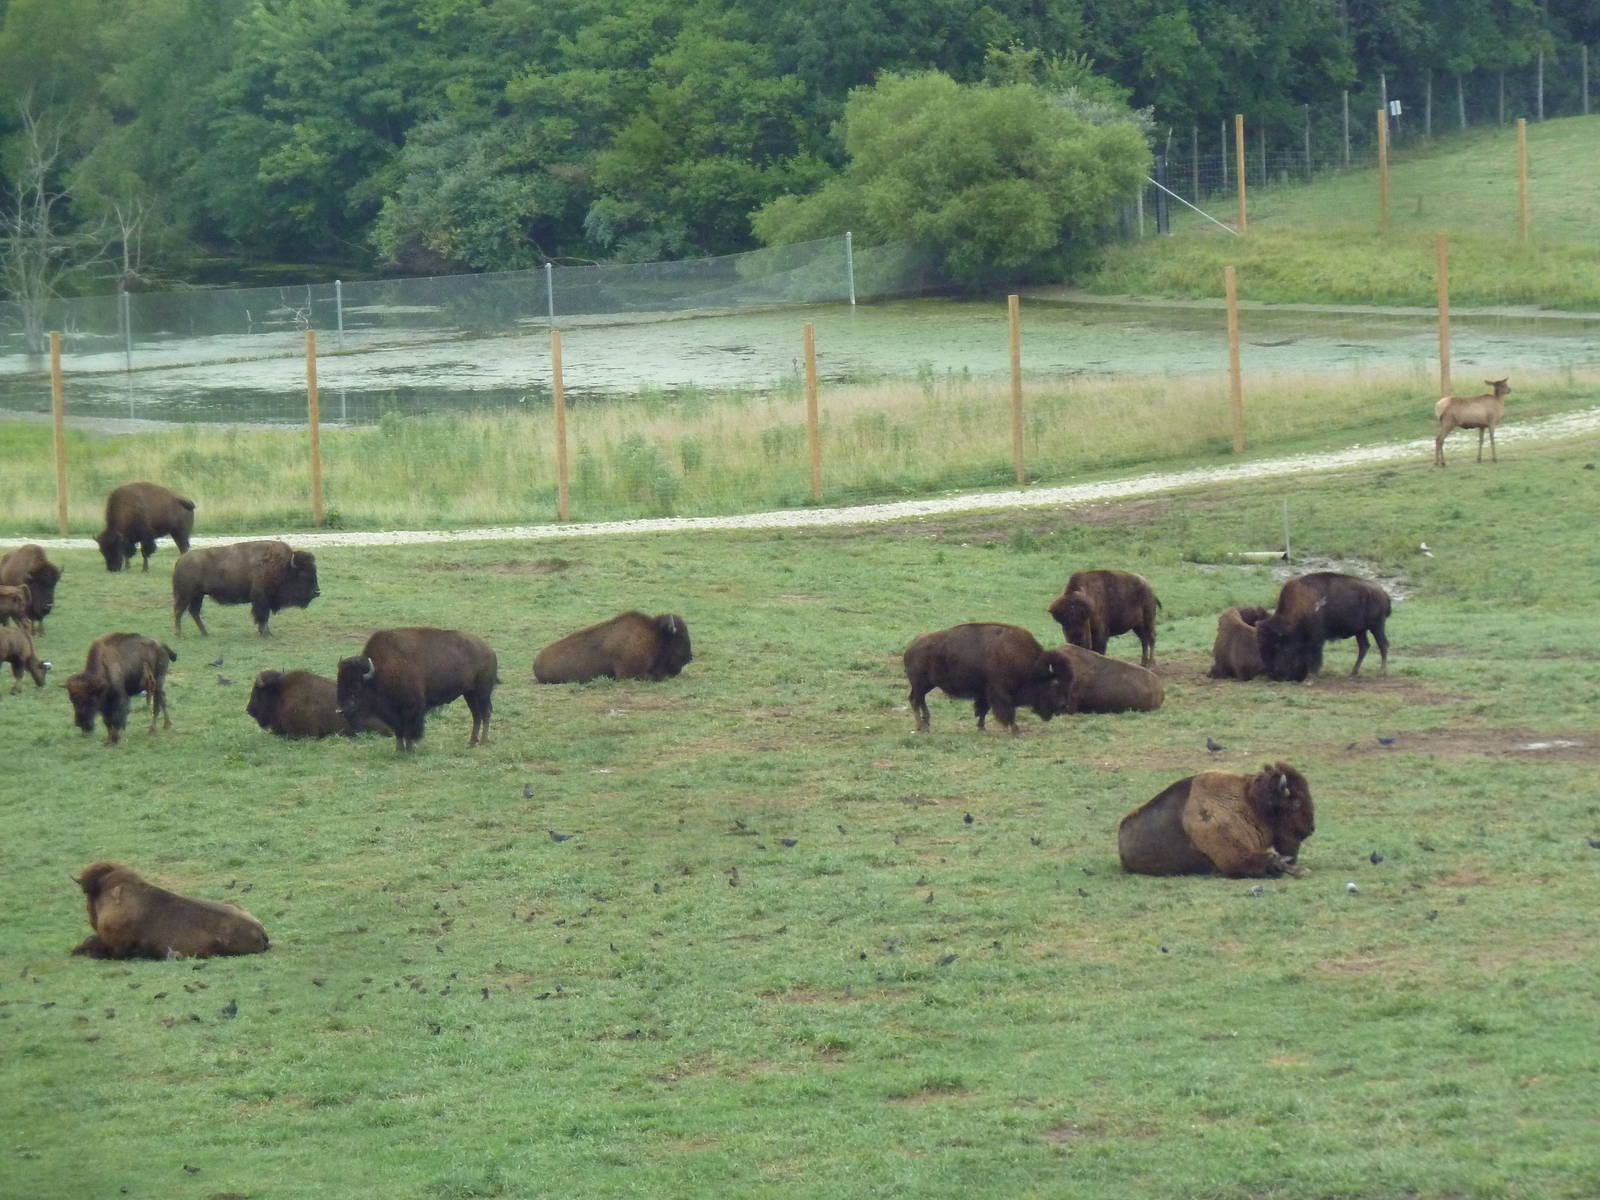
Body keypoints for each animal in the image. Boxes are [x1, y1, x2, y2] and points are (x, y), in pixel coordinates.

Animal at [172, 540, 319, 636]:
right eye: (303, 574)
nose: (317, 592)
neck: (285, 567)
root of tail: (180, 560)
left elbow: (264, 617)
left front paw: (266, 632)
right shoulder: (261, 599)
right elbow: (262, 616)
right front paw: (266, 634)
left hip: (198, 595)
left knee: (194, 612)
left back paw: (205, 633)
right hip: (186, 595)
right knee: (179, 611)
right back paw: (179, 634)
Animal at [336, 627, 498, 751]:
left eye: (356, 685)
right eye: (339, 682)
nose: (342, 710)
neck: (380, 671)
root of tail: (489, 651)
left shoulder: (412, 708)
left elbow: (410, 729)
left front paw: (410, 748)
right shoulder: (395, 713)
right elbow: (399, 730)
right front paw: (399, 749)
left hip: (482, 692)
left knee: (485, 713)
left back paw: (483, 742)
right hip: (469, 694)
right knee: (476, 715)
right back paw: (471, 742)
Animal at [903, 622, 1073, 735]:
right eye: (1055, 682)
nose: (1063, 705)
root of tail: (911, 646)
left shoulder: (985, 693)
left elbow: (983, 710)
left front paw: (982, 728)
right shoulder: (1000, 693)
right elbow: (1007, 711)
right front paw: (1015, 729)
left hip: (927, 685)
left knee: (919, 700)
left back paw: (926, 724)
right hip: (920, 683)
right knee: (915, 700)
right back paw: (922, 727)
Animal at [1118, 762, 1315, 878]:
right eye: (1296, 802)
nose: (1311, 828)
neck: (1250, 804)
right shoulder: (1232, 858)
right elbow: (1267, 861)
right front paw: (1299, 870)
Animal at [1256, 572, 1392, 682]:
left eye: (1276, 645)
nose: (1273, 675)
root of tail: (1383, 593)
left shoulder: (1315, 639)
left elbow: (1313, 655)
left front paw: (1312, 674)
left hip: (1377, 626)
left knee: (1382, 644)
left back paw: (1382, 672)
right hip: (1361, 630)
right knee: (1364, 646)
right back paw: (1353, 672)